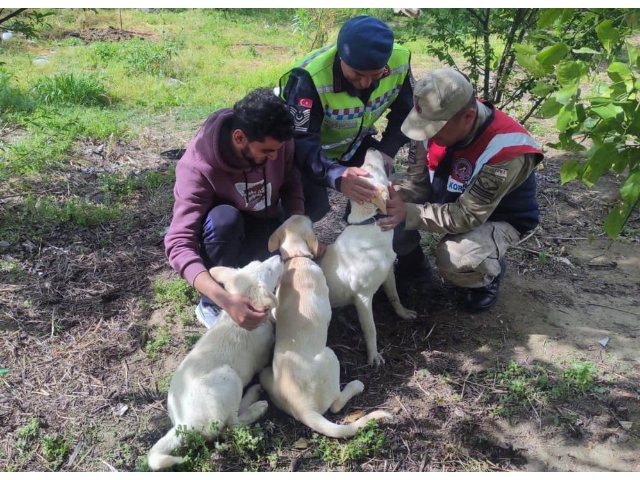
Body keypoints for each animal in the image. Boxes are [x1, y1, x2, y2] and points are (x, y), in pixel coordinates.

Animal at [149, 256, 284, 470]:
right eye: (270, 270)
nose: (279, 256)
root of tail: (183, 424)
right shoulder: (263, 352)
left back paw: (254, 393)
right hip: (229, 378)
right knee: (232, 424)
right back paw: (257, 406)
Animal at [258, 217, 390, 438]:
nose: (308, 216)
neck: (297, 259)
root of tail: (304, 410)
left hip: (267, 376)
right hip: (330, 356)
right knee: (336, 404)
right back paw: (355, 385)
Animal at [320, 150, 420, 368]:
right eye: (369, 167)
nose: (372, 147)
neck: (369, 223)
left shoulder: (389, 273)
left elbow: (395, 297)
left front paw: (403, 313)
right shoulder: (363, 297)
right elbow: (371, 329)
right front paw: (373, 355)